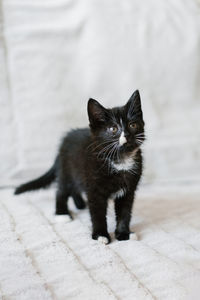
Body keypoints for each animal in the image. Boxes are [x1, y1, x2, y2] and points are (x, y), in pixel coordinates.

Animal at [14, 91, 145, 244]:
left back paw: (80, 204)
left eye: (133, 125)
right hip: (66, 171)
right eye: (113, 129)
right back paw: (62, 214)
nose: (128, 135)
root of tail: (62, 145)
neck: (120, 160)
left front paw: (124, 233)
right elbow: (98, 213)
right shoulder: (94, 188)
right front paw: (100, 235)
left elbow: (125, 212)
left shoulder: (128, 189)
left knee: (74, 188)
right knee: (61, 191)